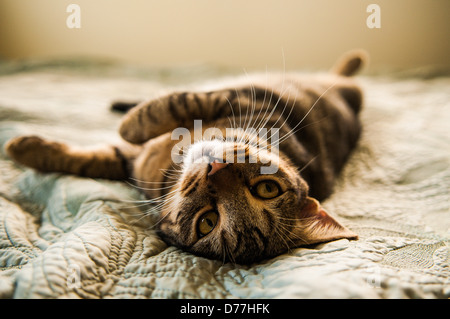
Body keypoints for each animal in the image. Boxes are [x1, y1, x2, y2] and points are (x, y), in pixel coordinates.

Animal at [5, 50, 368, 264]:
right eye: (268, 189)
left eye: (208, 222)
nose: (215, 168)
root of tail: (348, 91)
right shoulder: (232, 97)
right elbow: (165, 108)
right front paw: (24, 147)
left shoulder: (133, 165)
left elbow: (104, 151)